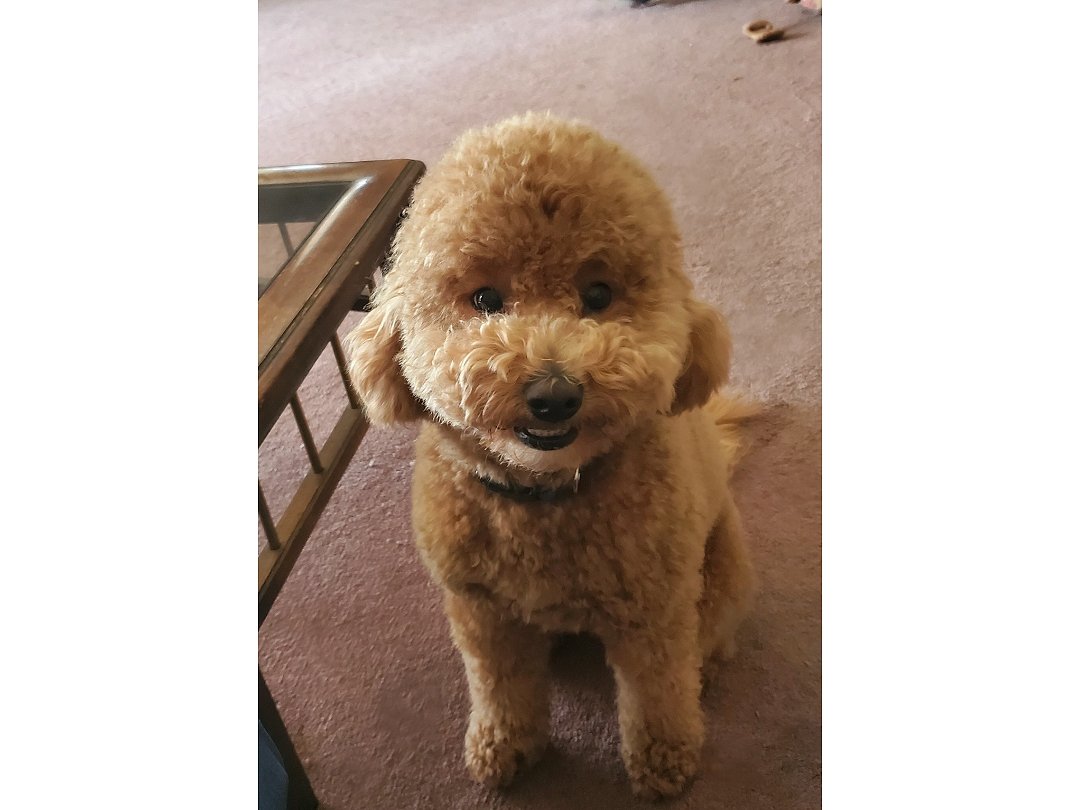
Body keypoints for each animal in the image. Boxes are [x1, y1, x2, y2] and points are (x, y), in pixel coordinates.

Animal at [341, 112, 756, 799]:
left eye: (599, 294)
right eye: (485, 300)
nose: (554, 396)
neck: (544, 499)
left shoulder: (654, 613)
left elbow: (658, 694)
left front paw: (664, 760)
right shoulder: (482, 615)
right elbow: (501, 688)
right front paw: (503, 748)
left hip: (718, 574)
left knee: (708, 641)